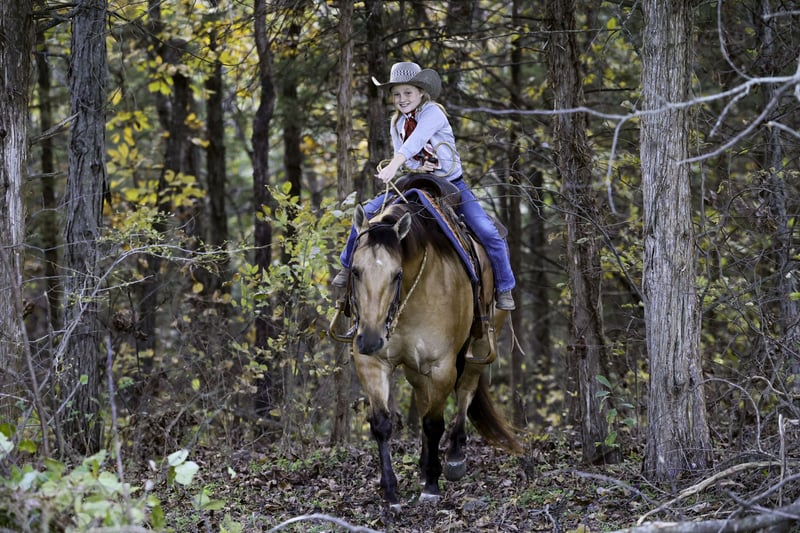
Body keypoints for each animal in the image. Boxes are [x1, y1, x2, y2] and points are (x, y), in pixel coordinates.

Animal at [340, 191, 521, 509]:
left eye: (396, 274)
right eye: (356, 271)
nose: (370, 340)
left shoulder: (441, 366)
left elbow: (434, 423)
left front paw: (433, 486)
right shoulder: (372, 364)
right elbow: (383, 424)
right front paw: (391, 491)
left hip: (479, 346)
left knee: (465, 391)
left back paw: (454, 457)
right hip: (415, 368)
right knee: (423, 399)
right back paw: (425, 466)